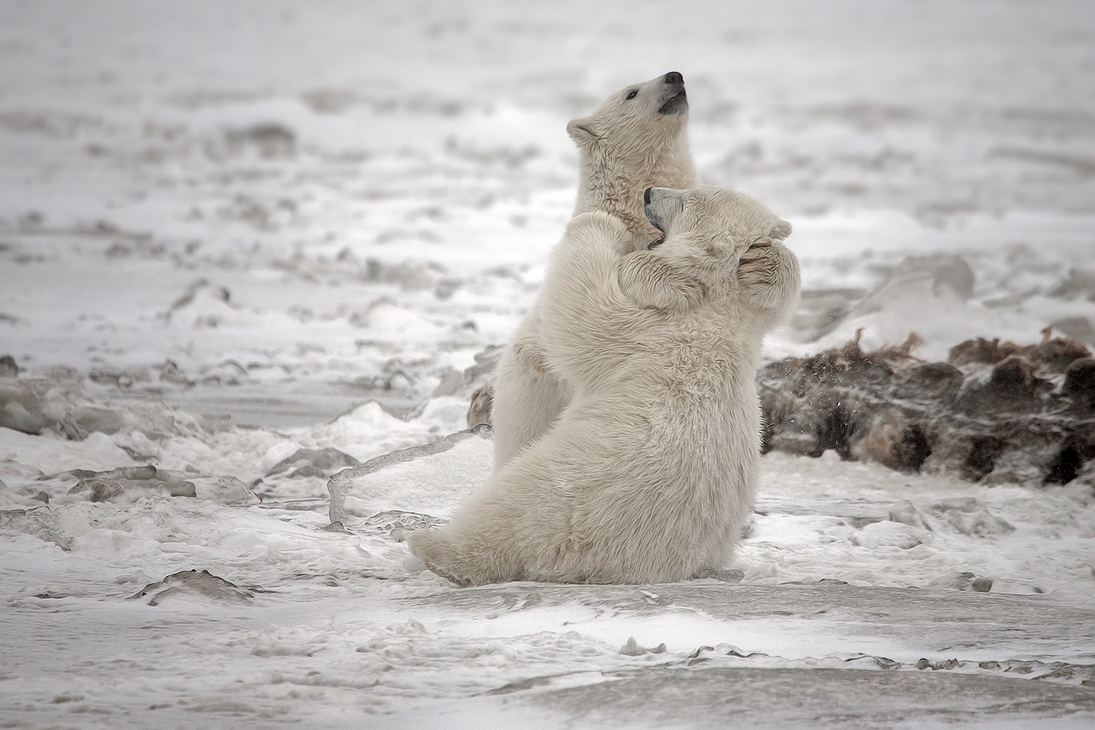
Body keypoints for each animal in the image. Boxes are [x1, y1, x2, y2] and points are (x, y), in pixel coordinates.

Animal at [407, 186, 801, 586]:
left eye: (687, 199)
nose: (649, 193)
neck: (717, 312)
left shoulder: (645, 332)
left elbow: (582, 315)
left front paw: (602, 222)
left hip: (563, 491)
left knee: (505, 510)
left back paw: (432, 546)